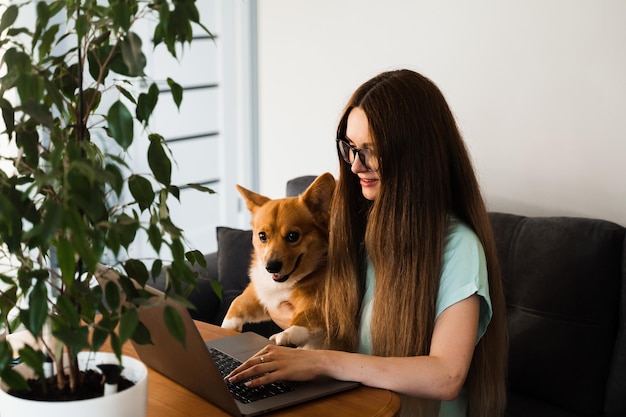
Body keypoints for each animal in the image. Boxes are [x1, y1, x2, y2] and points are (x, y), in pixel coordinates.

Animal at [221, 172, 334, 348]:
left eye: (293, 236)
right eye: (262, 236)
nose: (271, 267)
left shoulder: (321, 304)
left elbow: (306, 316)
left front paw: (288, 334)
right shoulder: (262, 295)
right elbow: (238, 301)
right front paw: (227, 326)